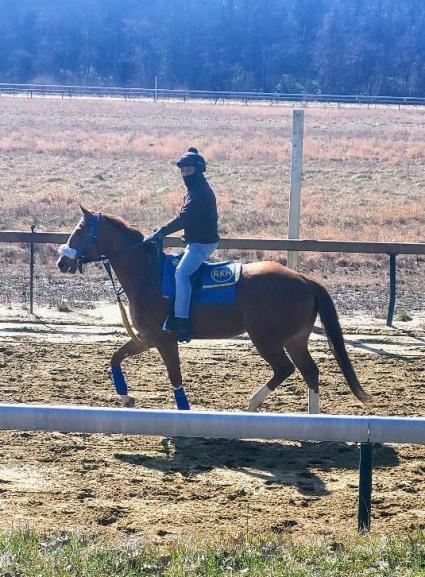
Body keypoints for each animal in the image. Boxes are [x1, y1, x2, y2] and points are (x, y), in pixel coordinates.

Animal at [55, 205, 368, 412]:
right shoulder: (146, 338)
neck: (148, 275)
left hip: (266, 339)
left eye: (80, 230)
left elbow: (175, 376)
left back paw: (253, 403)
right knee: (310, 372)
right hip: (294, 340)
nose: (62, 261)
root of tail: (303, 279)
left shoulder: (164, 339)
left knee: (285, 369)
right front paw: (125, 397)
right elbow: (115, 358)